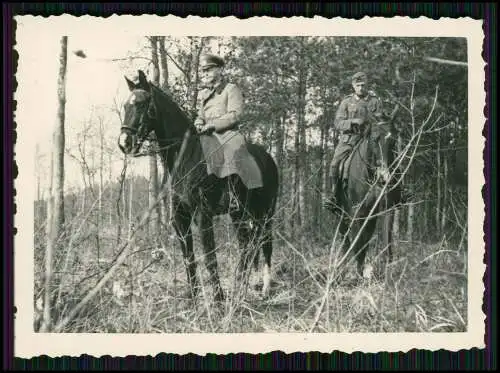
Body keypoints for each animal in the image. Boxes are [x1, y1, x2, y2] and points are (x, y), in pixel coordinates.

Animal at [119, 71, 280, 304]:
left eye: (141, 104)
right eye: (125, 106)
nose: (124, 142)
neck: (187, 156)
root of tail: (268, 158)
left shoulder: (203, 216)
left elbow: (210, 258)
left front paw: (218, 299)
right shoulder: (180, 217)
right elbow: (189, 257)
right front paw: (193, 298)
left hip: (265, 213)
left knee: (265, 243)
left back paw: (264, 288)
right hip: (240, 214)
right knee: (246, 245)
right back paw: (240, 288)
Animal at [332, 106, 402, 278]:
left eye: (393, 140)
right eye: (374, 139)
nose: (385, 178)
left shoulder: (387, 209)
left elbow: (387, 244)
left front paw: (388, 273)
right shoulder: (357, 212)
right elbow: (358, 245)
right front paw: (358, 275)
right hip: (341, 214)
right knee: (346, 240)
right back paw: (343, 267)